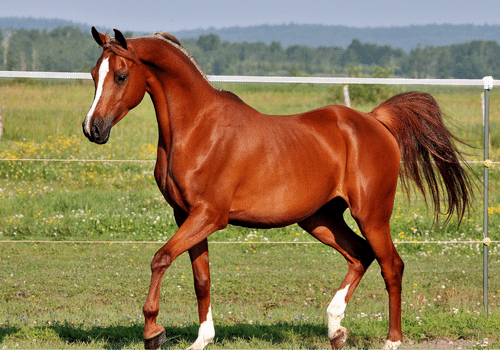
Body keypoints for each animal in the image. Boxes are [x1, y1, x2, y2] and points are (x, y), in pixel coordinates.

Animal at [82, 28, 472, 350]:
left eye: (121, 75)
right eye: (93, 74)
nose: (92, 129)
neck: (197, 128)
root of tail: (376, 122)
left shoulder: (209, 215)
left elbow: (160, 258)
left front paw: (153, 332)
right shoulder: (187, 216)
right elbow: (201, 279)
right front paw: (201, 340)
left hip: (372, 214)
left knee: (392, 266)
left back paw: (392, 341)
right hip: (320, 219)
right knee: (360, 254)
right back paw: (335, 329)